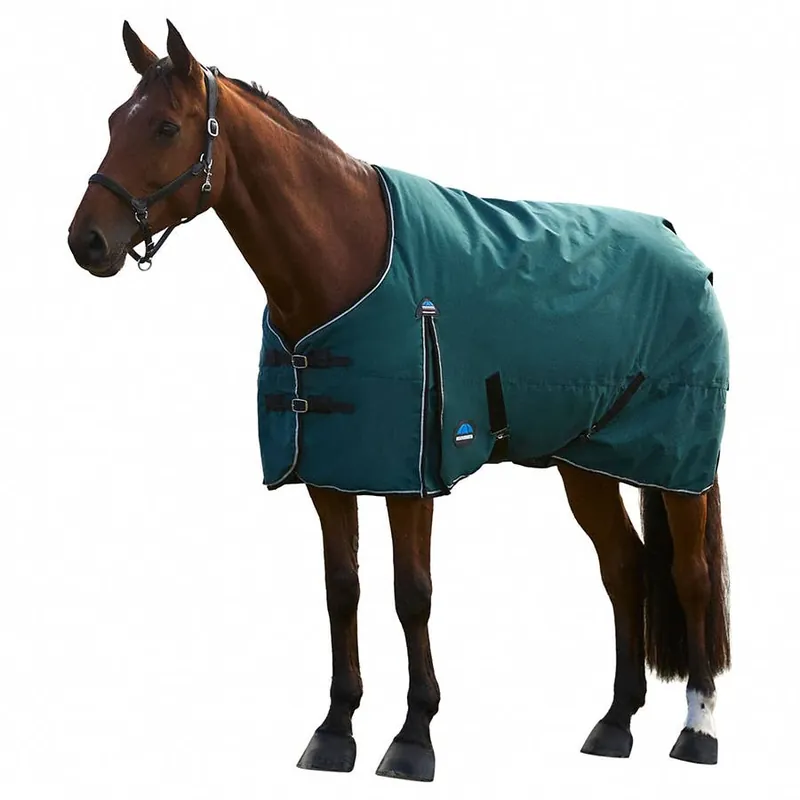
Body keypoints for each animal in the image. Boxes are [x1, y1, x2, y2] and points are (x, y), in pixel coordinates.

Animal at [67, 20, 731, 781]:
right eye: (113, 121)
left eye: (166, 127)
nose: (86, 241)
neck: (346, 261)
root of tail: (680, 244)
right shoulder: (330, 471)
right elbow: (342, 591)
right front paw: (335, 730)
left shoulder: (413, 475)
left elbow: (412, 595)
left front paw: (414, 737)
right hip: (584, 462)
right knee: (624, 569)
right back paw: (615, 724)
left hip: (679, 466)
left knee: (691, 576)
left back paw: (698, 731)